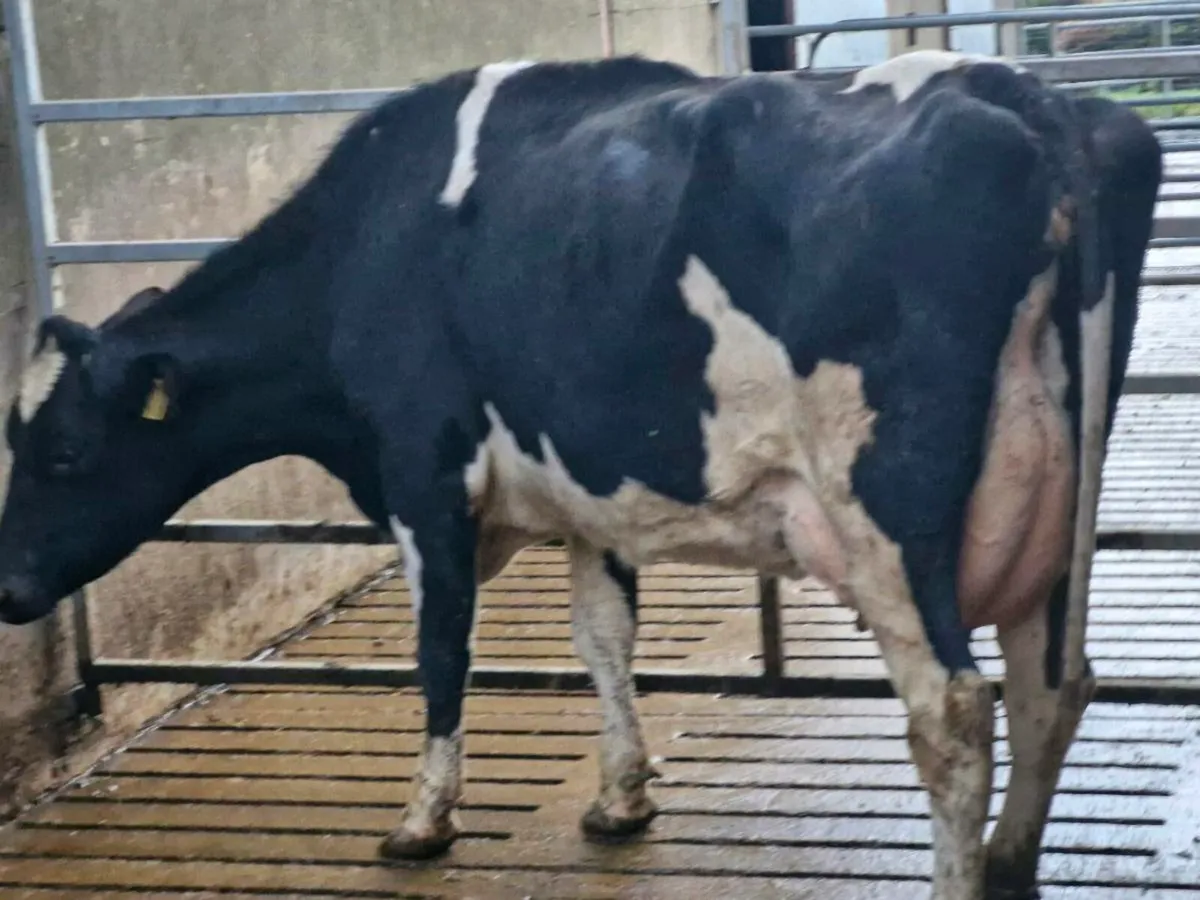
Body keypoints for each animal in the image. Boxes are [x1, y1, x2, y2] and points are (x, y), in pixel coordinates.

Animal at [0, 50, 1161, 899]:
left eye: (62, 451)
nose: (9, 589)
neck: (361, 249)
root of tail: (1026, 102)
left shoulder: (424, 473)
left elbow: (442, 652)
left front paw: (423, 821)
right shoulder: (587, 493)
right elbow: (604, 637)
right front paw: (620, 798)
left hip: (890, 513)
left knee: (956, 712)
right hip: (1066, 504)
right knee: (1054, 681)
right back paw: (1010, 866)